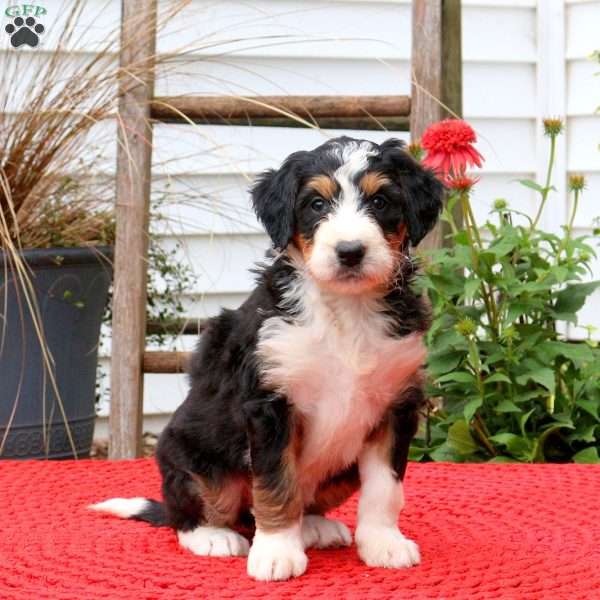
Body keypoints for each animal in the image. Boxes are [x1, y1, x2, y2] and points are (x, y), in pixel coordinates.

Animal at [90, 137, 446, 580]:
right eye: (316, 204)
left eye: (381, 201)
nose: (350, 252)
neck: (345, 310)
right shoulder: (270, 405)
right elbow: (276, 485)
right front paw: (277, 553)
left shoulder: (395, 405)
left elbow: (385, 488)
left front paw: (384, 543)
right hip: (194, 458)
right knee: (190, 511)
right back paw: (213, 536)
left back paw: (314, 527)